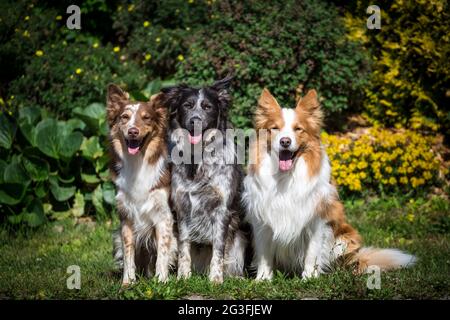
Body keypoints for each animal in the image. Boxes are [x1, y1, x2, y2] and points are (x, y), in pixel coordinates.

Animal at [107, 84, 178, 284]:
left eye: (146, 118)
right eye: (125, 117)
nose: (133, 131)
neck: (138, 163)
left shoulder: (164, 216)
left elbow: (163, 252)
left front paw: (162, 281)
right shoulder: (126, 217)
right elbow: (128, 252)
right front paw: (127, 282)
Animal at [161, 75, 248, 282]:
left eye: (207, 107)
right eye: (187, 105)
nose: (195, 121)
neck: (199, 161)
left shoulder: (222, 209)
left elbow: (218, 248)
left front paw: (215, 280)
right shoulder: (183, 207)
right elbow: (184, 246)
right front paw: (183, 277)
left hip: (241, 238)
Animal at [243, 88, 414, 280]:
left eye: (298, 129)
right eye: (275, 128)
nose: (285, 141)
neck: (285, 177)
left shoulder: (317, 219)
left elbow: (312, 253)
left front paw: (309, 278)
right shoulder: (262, 221)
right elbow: (264, 255)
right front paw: (263, 279)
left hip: (345, 239)